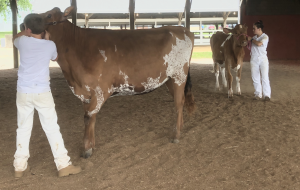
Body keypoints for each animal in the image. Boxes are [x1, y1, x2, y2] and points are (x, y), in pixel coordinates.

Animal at [32, 5, 196, 157]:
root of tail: (183, 29)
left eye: (49, 15)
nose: (28, 20)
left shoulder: (101, 90)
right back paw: (179, 127)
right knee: (180, 100)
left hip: (179, 75)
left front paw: (86, 149)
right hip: (169, 79)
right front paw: (91, 145)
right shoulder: (85, 93)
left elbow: (88, 117)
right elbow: (91, 118)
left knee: (178, 103)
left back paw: (176, 135)